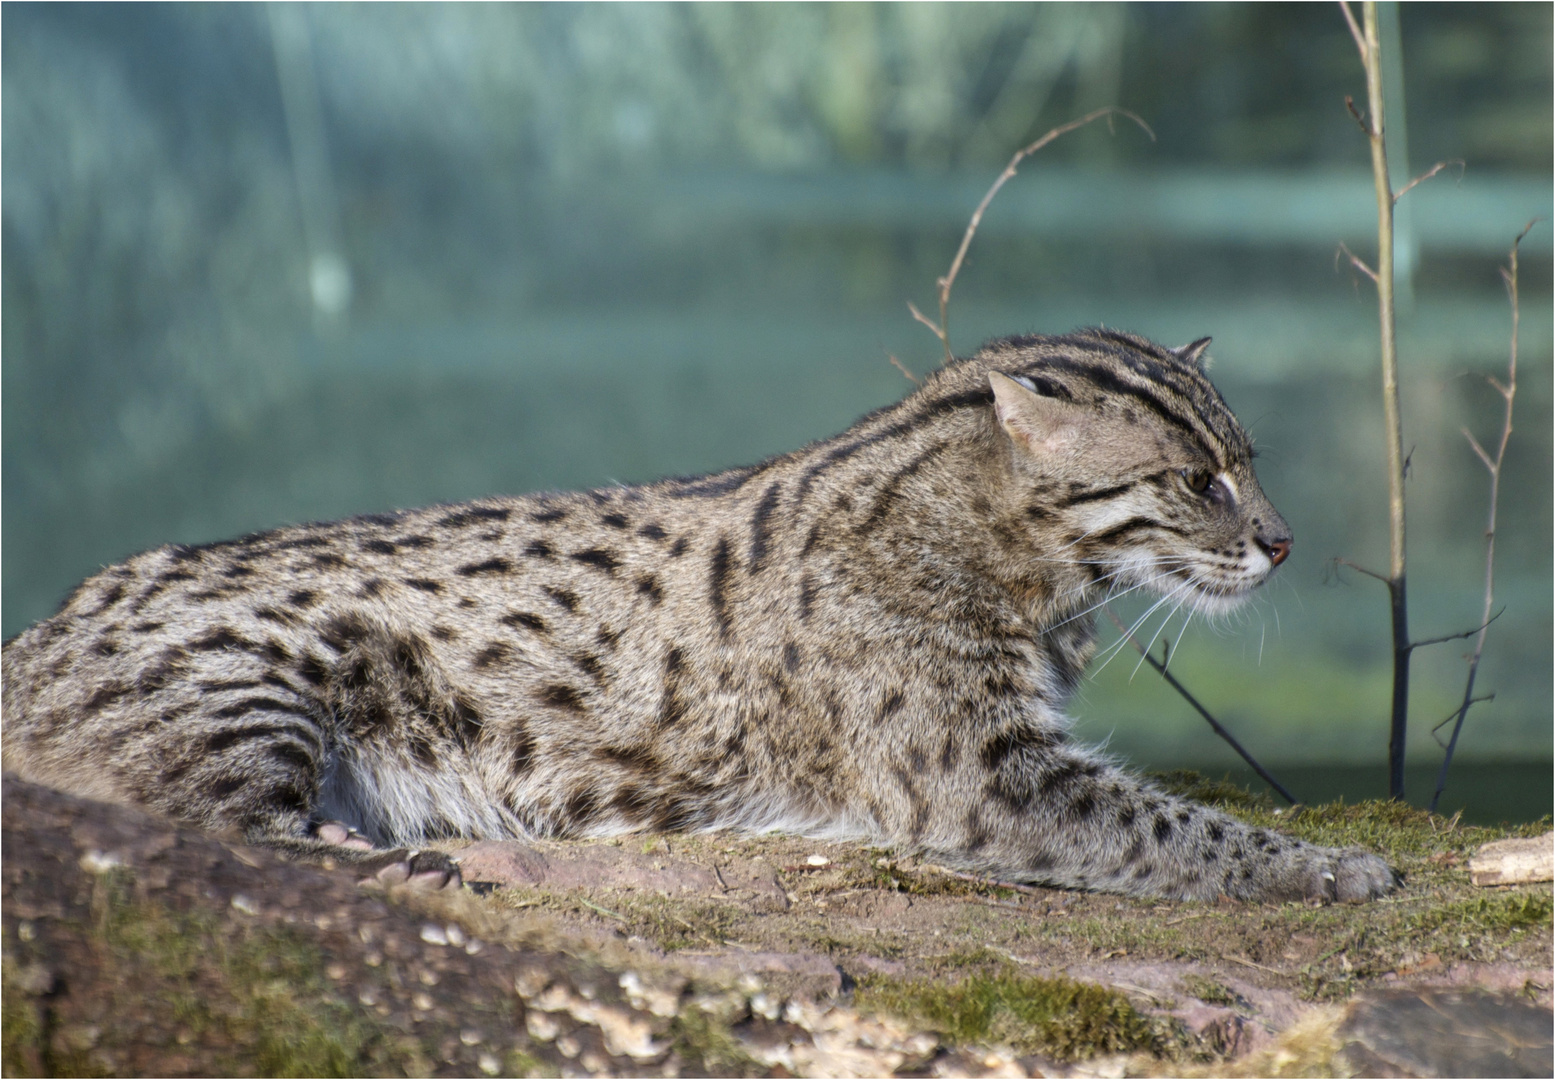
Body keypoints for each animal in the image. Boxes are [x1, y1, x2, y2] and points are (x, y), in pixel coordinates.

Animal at [0, 330, 1405, 901]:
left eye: (1249, 461)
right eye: (1199, 480)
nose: (1284, 541)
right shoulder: (980, 773)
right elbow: (1178, 829)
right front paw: (1328, 866)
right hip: (246, 682)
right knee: (211, 834)